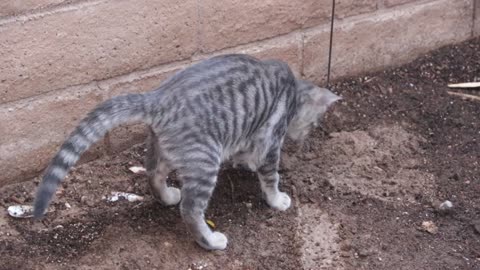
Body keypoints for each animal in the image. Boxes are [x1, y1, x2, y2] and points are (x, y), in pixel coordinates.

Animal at [32, 53, 342, 250]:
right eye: (314, 123)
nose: (305, 137)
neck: (291, 90)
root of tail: (158, 98)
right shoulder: (270, 140)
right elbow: (270, 177)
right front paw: (277, 199)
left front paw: (244, 163)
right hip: (205, 161)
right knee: (191, 209)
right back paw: (210, 241)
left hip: (165, 148)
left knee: (153, 174)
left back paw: (168, 196)